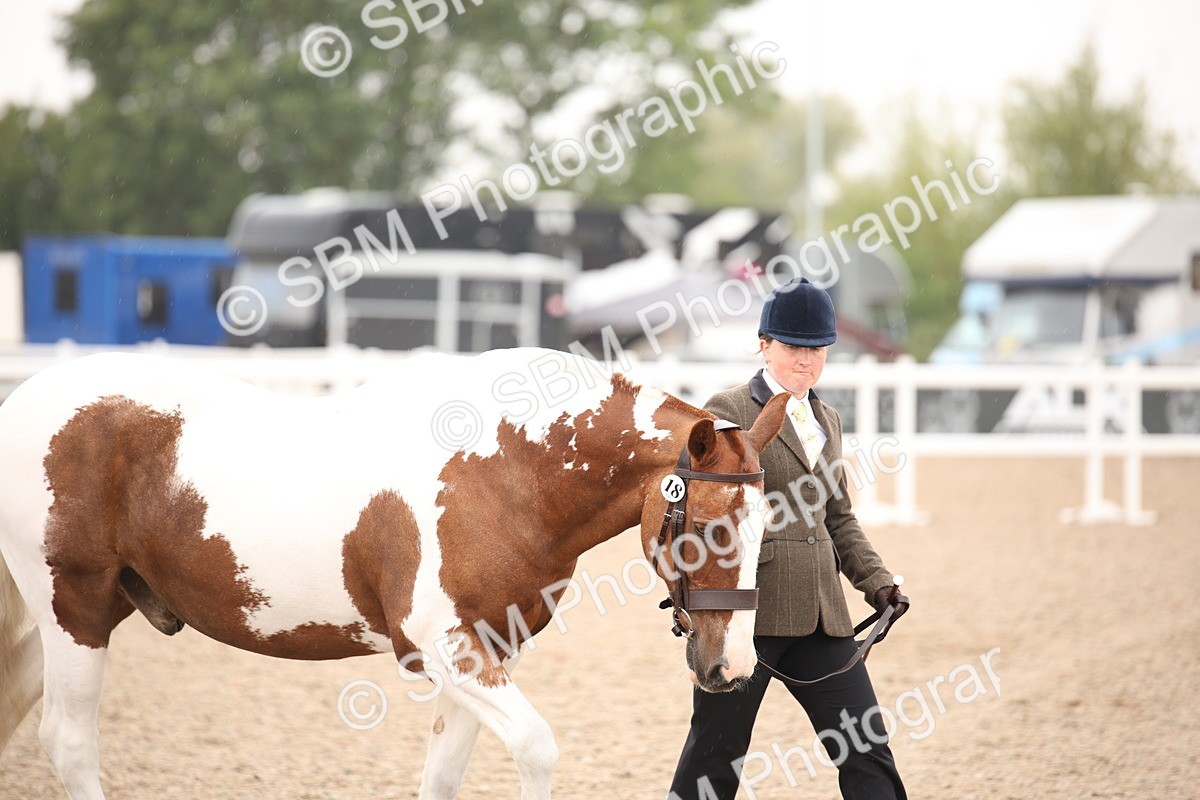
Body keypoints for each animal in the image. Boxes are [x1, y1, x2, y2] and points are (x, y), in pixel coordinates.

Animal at [0, 348, 788, 799]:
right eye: (710, 527)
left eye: (767, 527)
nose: (732, 667)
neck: (506, 469)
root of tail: (24, 401)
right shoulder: (444, 647)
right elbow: (536, 748)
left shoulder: (491, 650)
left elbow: (443, 775)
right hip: (73, 608)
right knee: (68, 742)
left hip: (83, 615)